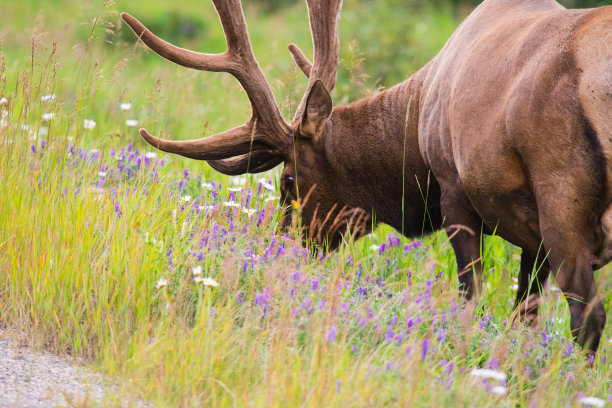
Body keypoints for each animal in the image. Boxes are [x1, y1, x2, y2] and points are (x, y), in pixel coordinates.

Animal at [122, 0, 608, 354]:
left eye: (288, 180)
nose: (279, 250)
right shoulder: (527, 234)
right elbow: (524, 315)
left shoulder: (454, 192)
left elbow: (471, 299)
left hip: (561, 196)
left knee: (589, 317)